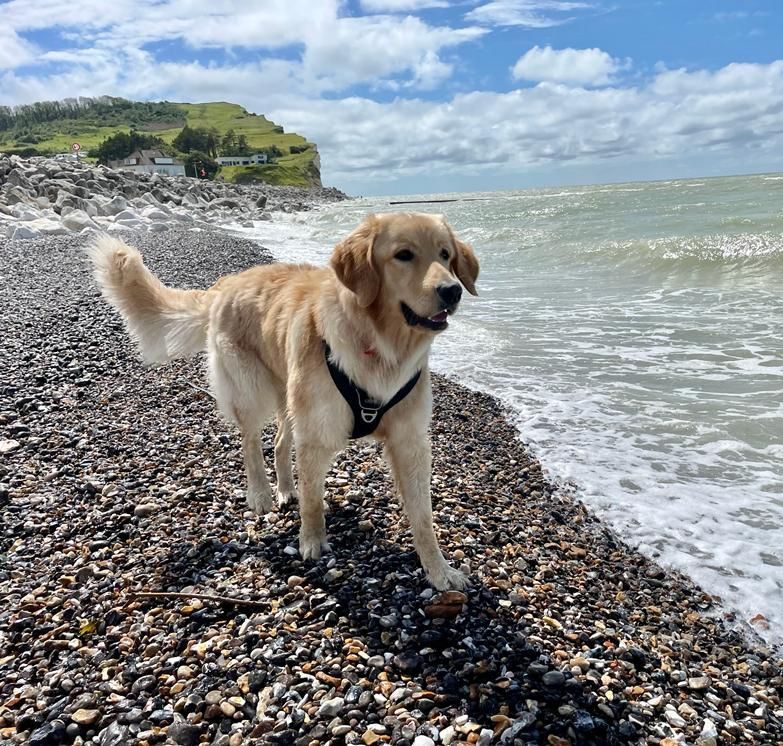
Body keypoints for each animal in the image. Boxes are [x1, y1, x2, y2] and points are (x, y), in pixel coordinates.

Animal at [88, 212, 479, 590]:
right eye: (403, 255)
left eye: (445, 254)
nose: (452, 291)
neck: (381, 345)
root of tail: (226, 283)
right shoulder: (318, 434)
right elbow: (312, 499)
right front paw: (311, 541)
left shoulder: (409, 440)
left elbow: (423, 515)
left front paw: (439, 570)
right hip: (252, 389)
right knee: (250, 441)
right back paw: (260, 493)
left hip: (291, 399)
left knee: (277, 443)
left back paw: (285, 489)